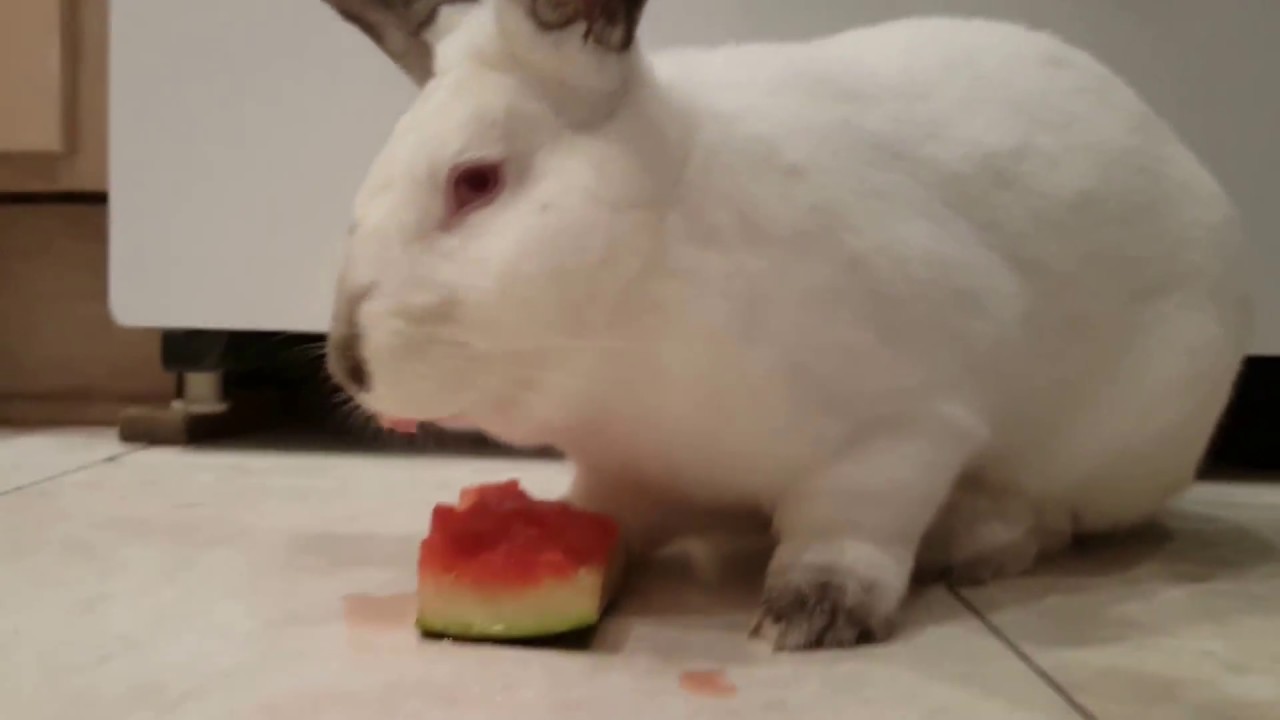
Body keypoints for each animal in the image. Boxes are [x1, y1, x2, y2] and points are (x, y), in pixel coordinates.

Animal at [324, 0, 1250, 650]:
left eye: (476, 182)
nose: (347, 363)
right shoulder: (625, 471)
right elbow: (602, 512)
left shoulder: (903, 427)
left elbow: (848, 528)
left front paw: (809, 616)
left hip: (1115, 442)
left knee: (1050, 518)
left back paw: (975, 543)